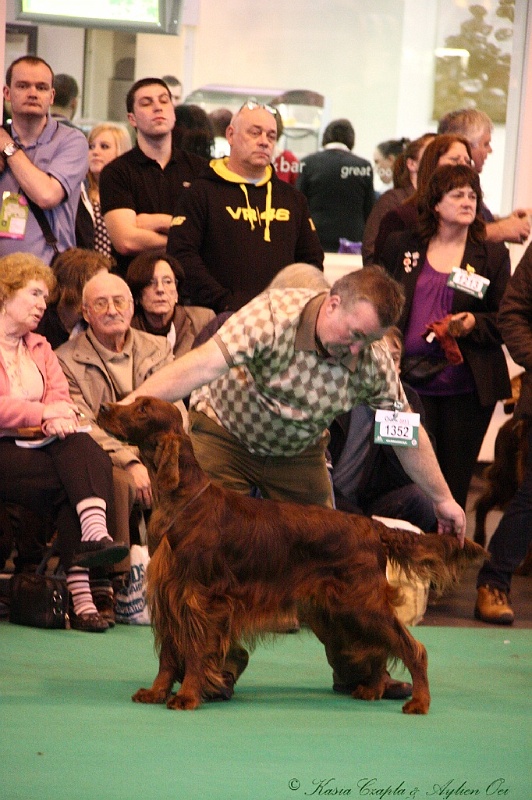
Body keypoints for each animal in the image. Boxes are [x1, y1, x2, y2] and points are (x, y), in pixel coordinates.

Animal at [97, 396, 484, 716]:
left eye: (143, 408)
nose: (102, 407)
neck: (181, 500)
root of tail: (371, 526)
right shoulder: (168, 595)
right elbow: (167, 655)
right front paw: (156, 692)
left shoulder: (198, 598)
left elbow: (193, 652)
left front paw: (188, 696)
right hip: (344, 609)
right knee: (375, 646)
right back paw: (373, 689)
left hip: (362, 603)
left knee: (413, 648)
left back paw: (419, 701)